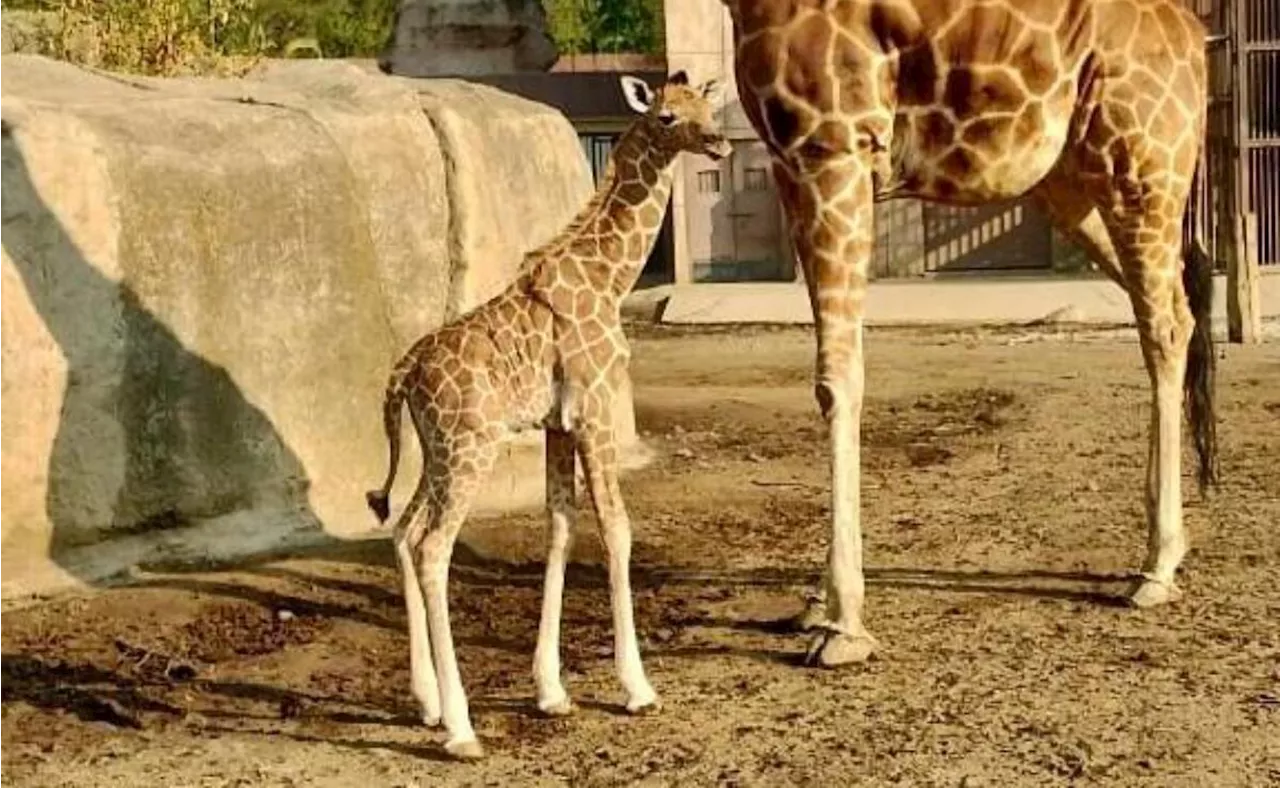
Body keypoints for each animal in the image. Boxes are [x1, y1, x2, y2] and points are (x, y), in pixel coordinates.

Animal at [371, 72, 732, 757]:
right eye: (667, 117)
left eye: (708, 106)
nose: (720, 143)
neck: (610, 278)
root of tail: (404, 372)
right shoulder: (594, 410)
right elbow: (616, 529)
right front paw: (637, 688)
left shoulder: (558, 426)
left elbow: (560, 529)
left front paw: (551, 691)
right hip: (470, 449)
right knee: (432, 547)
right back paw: (460, 728)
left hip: (436, 451)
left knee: (403, 531)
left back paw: (427, 703)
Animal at [727, 0, 1213, 665]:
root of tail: (1195, 35)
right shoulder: (790, 163)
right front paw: (818, 608)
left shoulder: (834, 145)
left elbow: (837, 378)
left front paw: (845, 625)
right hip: (1070, 182)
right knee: (1169, 312)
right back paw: (1162, 555)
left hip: (1143, 166)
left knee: (1164, 322)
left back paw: (1158, 567)